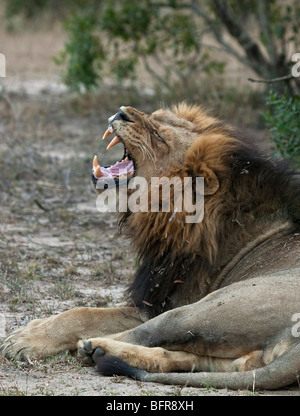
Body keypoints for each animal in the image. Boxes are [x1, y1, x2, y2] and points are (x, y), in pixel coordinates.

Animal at [2, 103, 300, 390]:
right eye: (155, 116)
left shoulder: (161, 304)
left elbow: (83, 313)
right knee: (219, 364)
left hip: (201, 310)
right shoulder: (150, 301)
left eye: (158, 136)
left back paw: (94, 346)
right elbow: (82, 312)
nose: (122, 112)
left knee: (146, 334)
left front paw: (24, 339)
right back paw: (104, 353)